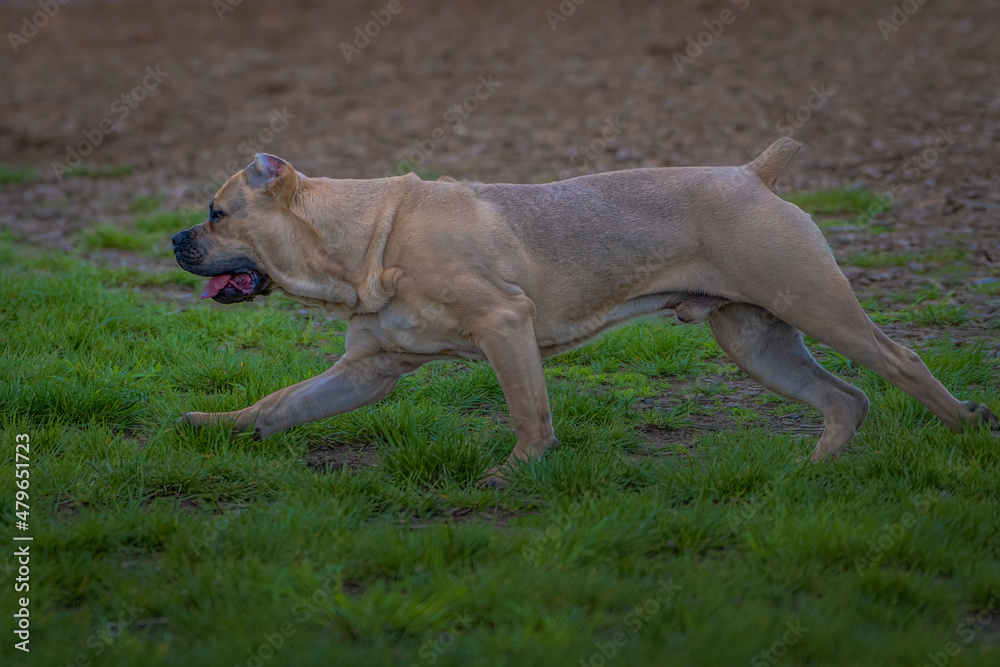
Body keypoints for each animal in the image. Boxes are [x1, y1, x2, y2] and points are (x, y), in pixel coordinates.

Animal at [170, 140, 992, 486]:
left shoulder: (504, 325)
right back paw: (811, 471)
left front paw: (518, 472)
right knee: (843, 397)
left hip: (818, 305)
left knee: (901, 362)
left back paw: (966, 429)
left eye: (216, 213)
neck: (360, 238)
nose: (175, 239)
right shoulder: (366, 369)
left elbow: (527, 411)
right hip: (756, 339)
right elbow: (279, 405)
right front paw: (214, 424)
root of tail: (753, 175)